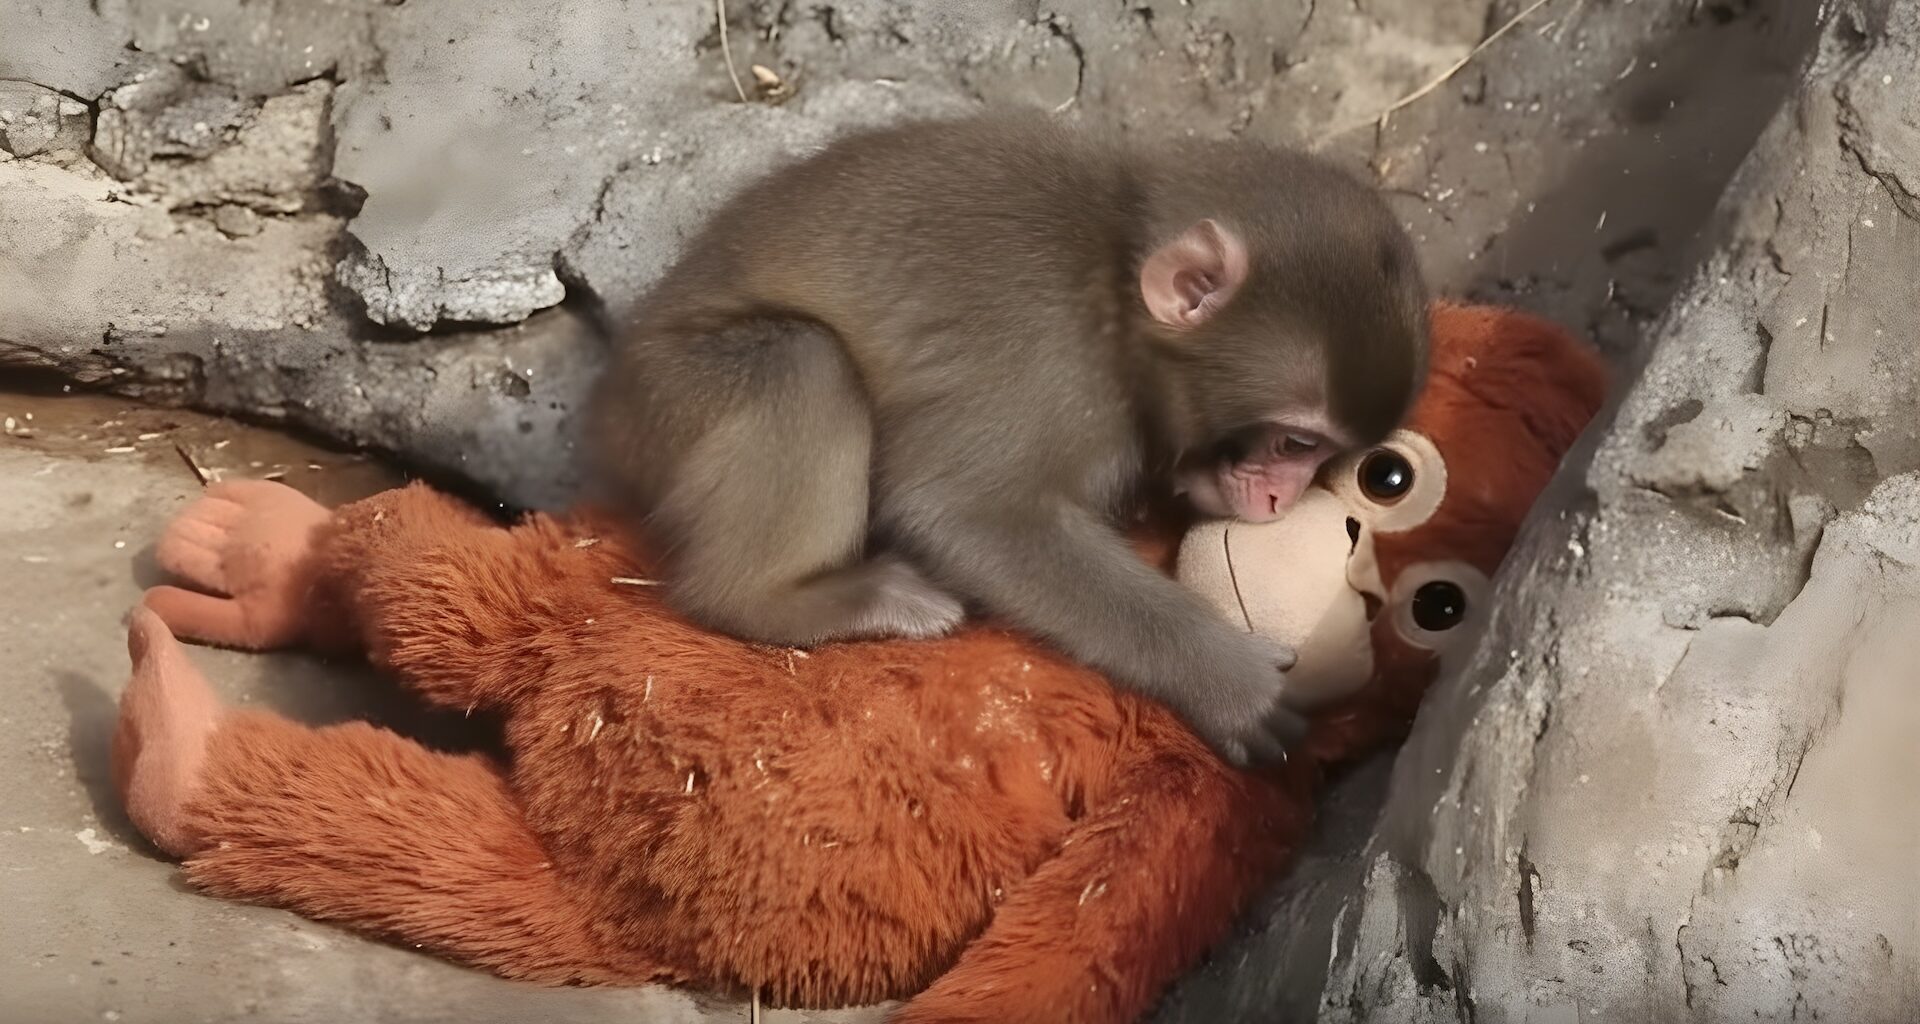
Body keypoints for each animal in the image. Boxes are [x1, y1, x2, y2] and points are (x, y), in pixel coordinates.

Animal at [584, 110, 1429, 764]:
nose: (1283, 495)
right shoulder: (1048, 366)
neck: (1114, 290)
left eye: (1326, 455)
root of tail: (612, 406)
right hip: (673, 401)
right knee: (802, 364)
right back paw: (778, 601)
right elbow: (964, 511)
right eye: (1294, 443)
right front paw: (1229, 682)